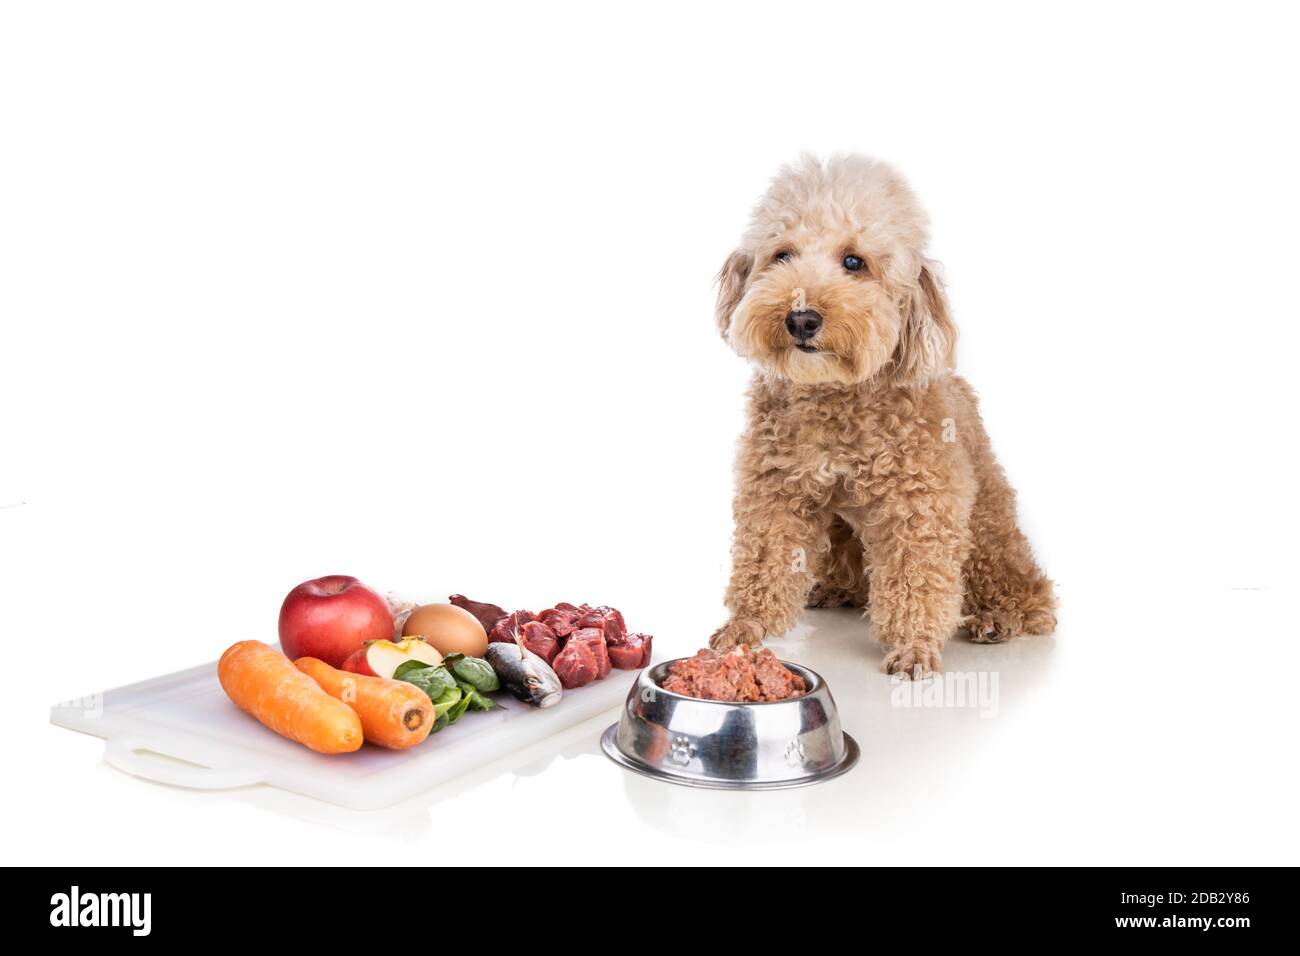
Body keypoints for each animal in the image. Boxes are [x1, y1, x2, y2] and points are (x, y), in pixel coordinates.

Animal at [712, 157, 1055, 676]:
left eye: (854, 262)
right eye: (782, 255)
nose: (801, 318)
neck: (835, 398)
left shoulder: (921, 503)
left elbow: (916, 575)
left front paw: (914, 645)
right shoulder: (774, 489)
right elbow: (764, 558)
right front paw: (745, 626)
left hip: (986, 527)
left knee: (1028, 593)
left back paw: (998, 617)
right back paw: (832, 590)